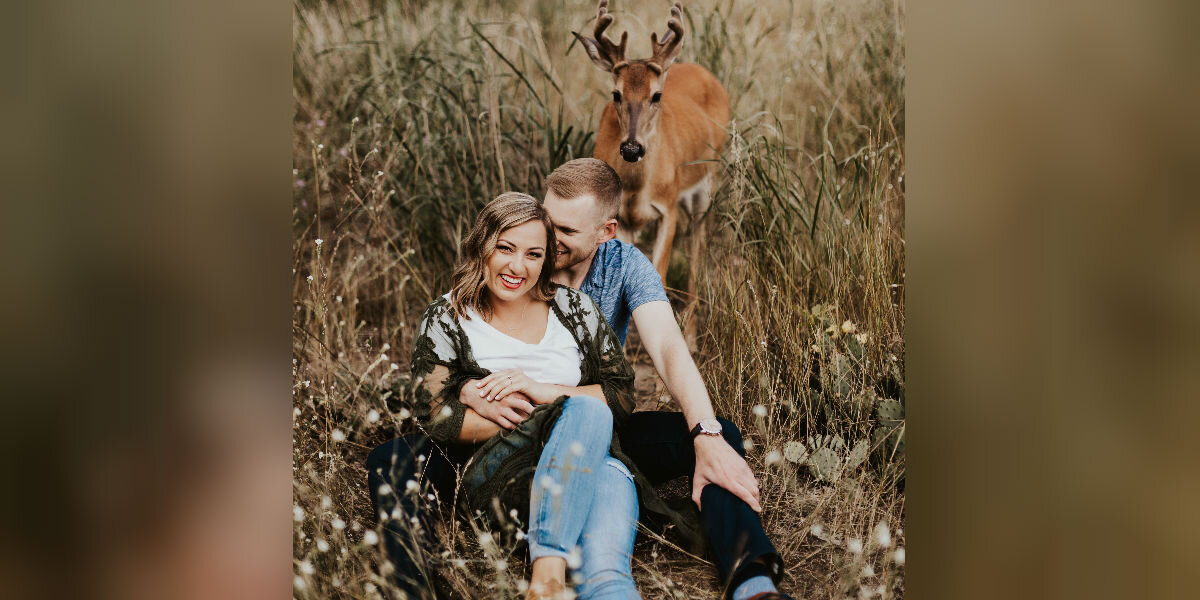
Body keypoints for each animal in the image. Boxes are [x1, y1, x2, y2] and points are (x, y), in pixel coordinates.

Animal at [574, 0, 729, 346]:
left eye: (656, 95)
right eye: (616, 94)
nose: (632, 148)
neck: (635, 187)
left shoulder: (667, 207)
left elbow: (658, 276)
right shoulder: (623, 220)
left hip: (707, 184)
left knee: (697, 246)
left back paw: (692, 335)